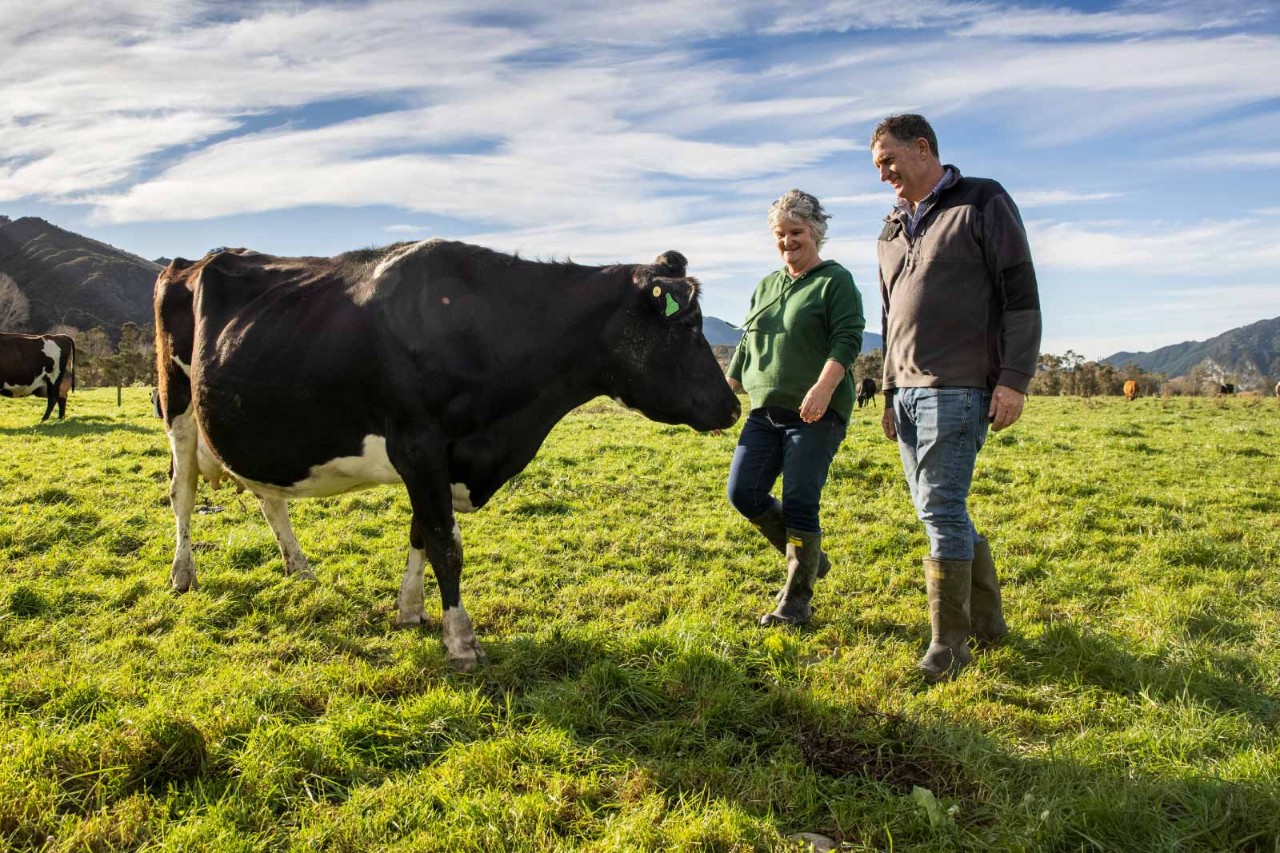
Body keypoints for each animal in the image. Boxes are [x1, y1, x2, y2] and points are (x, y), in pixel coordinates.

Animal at [154, 235, 742, 666]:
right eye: (687, 326)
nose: (733, 407)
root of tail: (192, 260)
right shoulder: (419, 444)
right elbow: (444, 542)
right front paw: (460, 640)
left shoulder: (441, 459)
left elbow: (420, 532)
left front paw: (411, 612)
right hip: (175, 402)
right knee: (181, 491)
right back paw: (183, 575)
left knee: (268, 496)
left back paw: (299, 568)